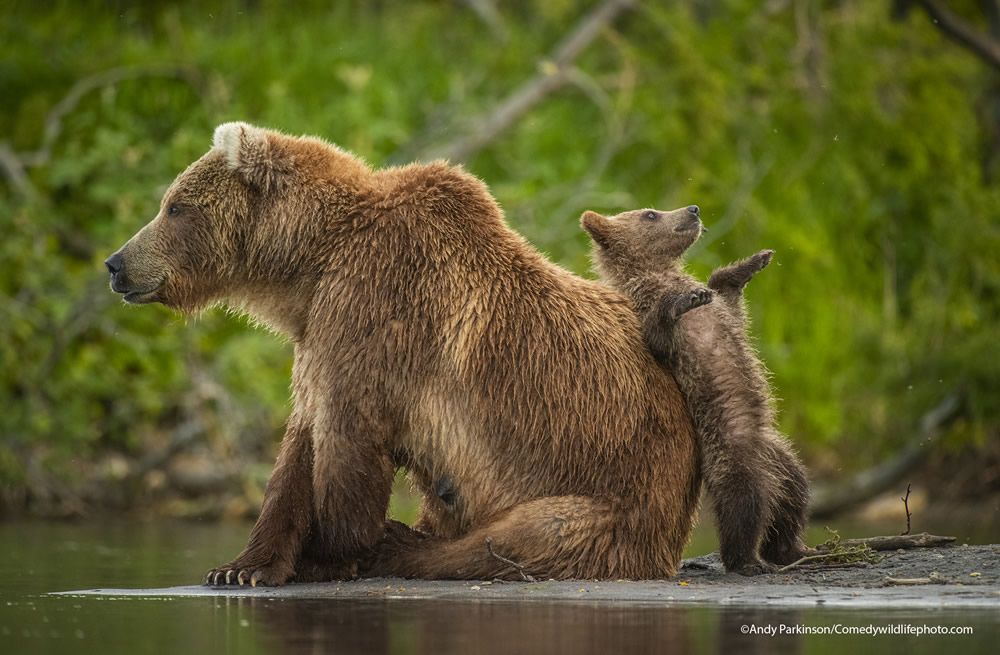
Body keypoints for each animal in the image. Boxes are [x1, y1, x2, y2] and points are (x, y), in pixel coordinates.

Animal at [101, 123, 696, 584]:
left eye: (174, 206)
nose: (115, 263)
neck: (310, 265)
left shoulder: (377, 310)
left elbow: (348, 437)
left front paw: (327, 554)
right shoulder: (321, 331)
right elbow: (299, 444)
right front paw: (241, 567)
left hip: (616, 487)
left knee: (527, 535)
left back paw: (401, 543)